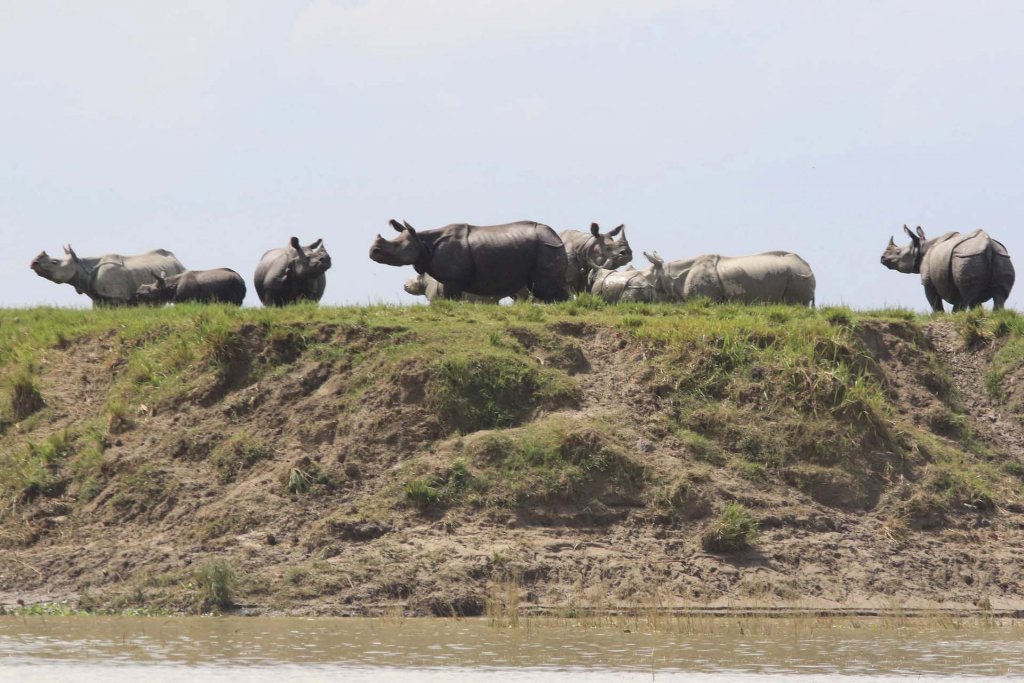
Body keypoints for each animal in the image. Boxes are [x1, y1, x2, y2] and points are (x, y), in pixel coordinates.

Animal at [29, 244, 186, 305]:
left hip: (180, 268)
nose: (34, 262)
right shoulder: (98, 297)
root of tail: (176, 258)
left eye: (54, 262)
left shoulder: (115, 296)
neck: (82, 266)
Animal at [372, 222, 573, 301]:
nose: (372, 251)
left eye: (396, 245)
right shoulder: (451, 280)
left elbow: (451, 297)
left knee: (544, 288)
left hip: (547, 247)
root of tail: (557, 237)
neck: (422, 243)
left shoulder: (453, 279)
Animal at [880, 225, 1015, 311]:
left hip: (967, 257)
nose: (882, 258)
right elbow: (958, 304)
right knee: (998, 295)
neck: (921, 248)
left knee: (972, 296)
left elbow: (935, 303)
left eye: (898, 252)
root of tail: (988, 246)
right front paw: (956, 315)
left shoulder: (928, 280)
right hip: (1001, 258)